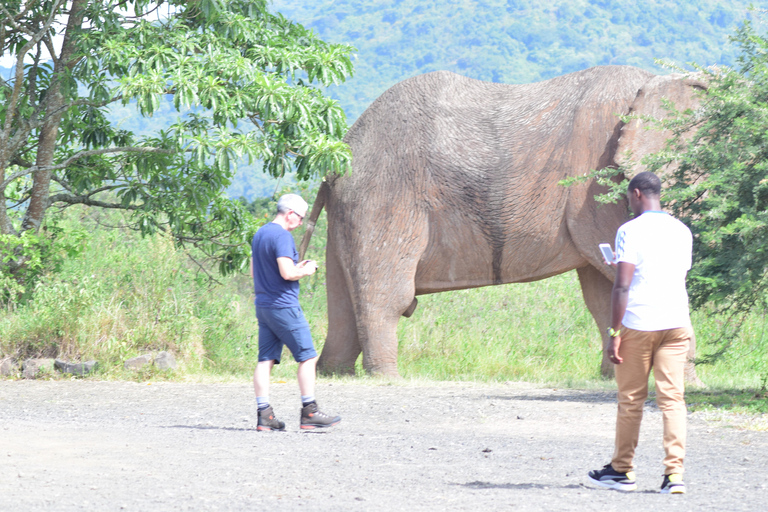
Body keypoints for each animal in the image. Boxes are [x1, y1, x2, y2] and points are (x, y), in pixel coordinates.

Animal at [298, 65, 704, 380]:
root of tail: (338, 156)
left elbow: (603, 292)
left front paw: (613, 377)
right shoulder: (598, 182)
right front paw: (687, 383)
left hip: (353, 206)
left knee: (342, 301)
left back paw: (333, 372)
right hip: (384, 195)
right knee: (386, 296)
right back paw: (388, 378)